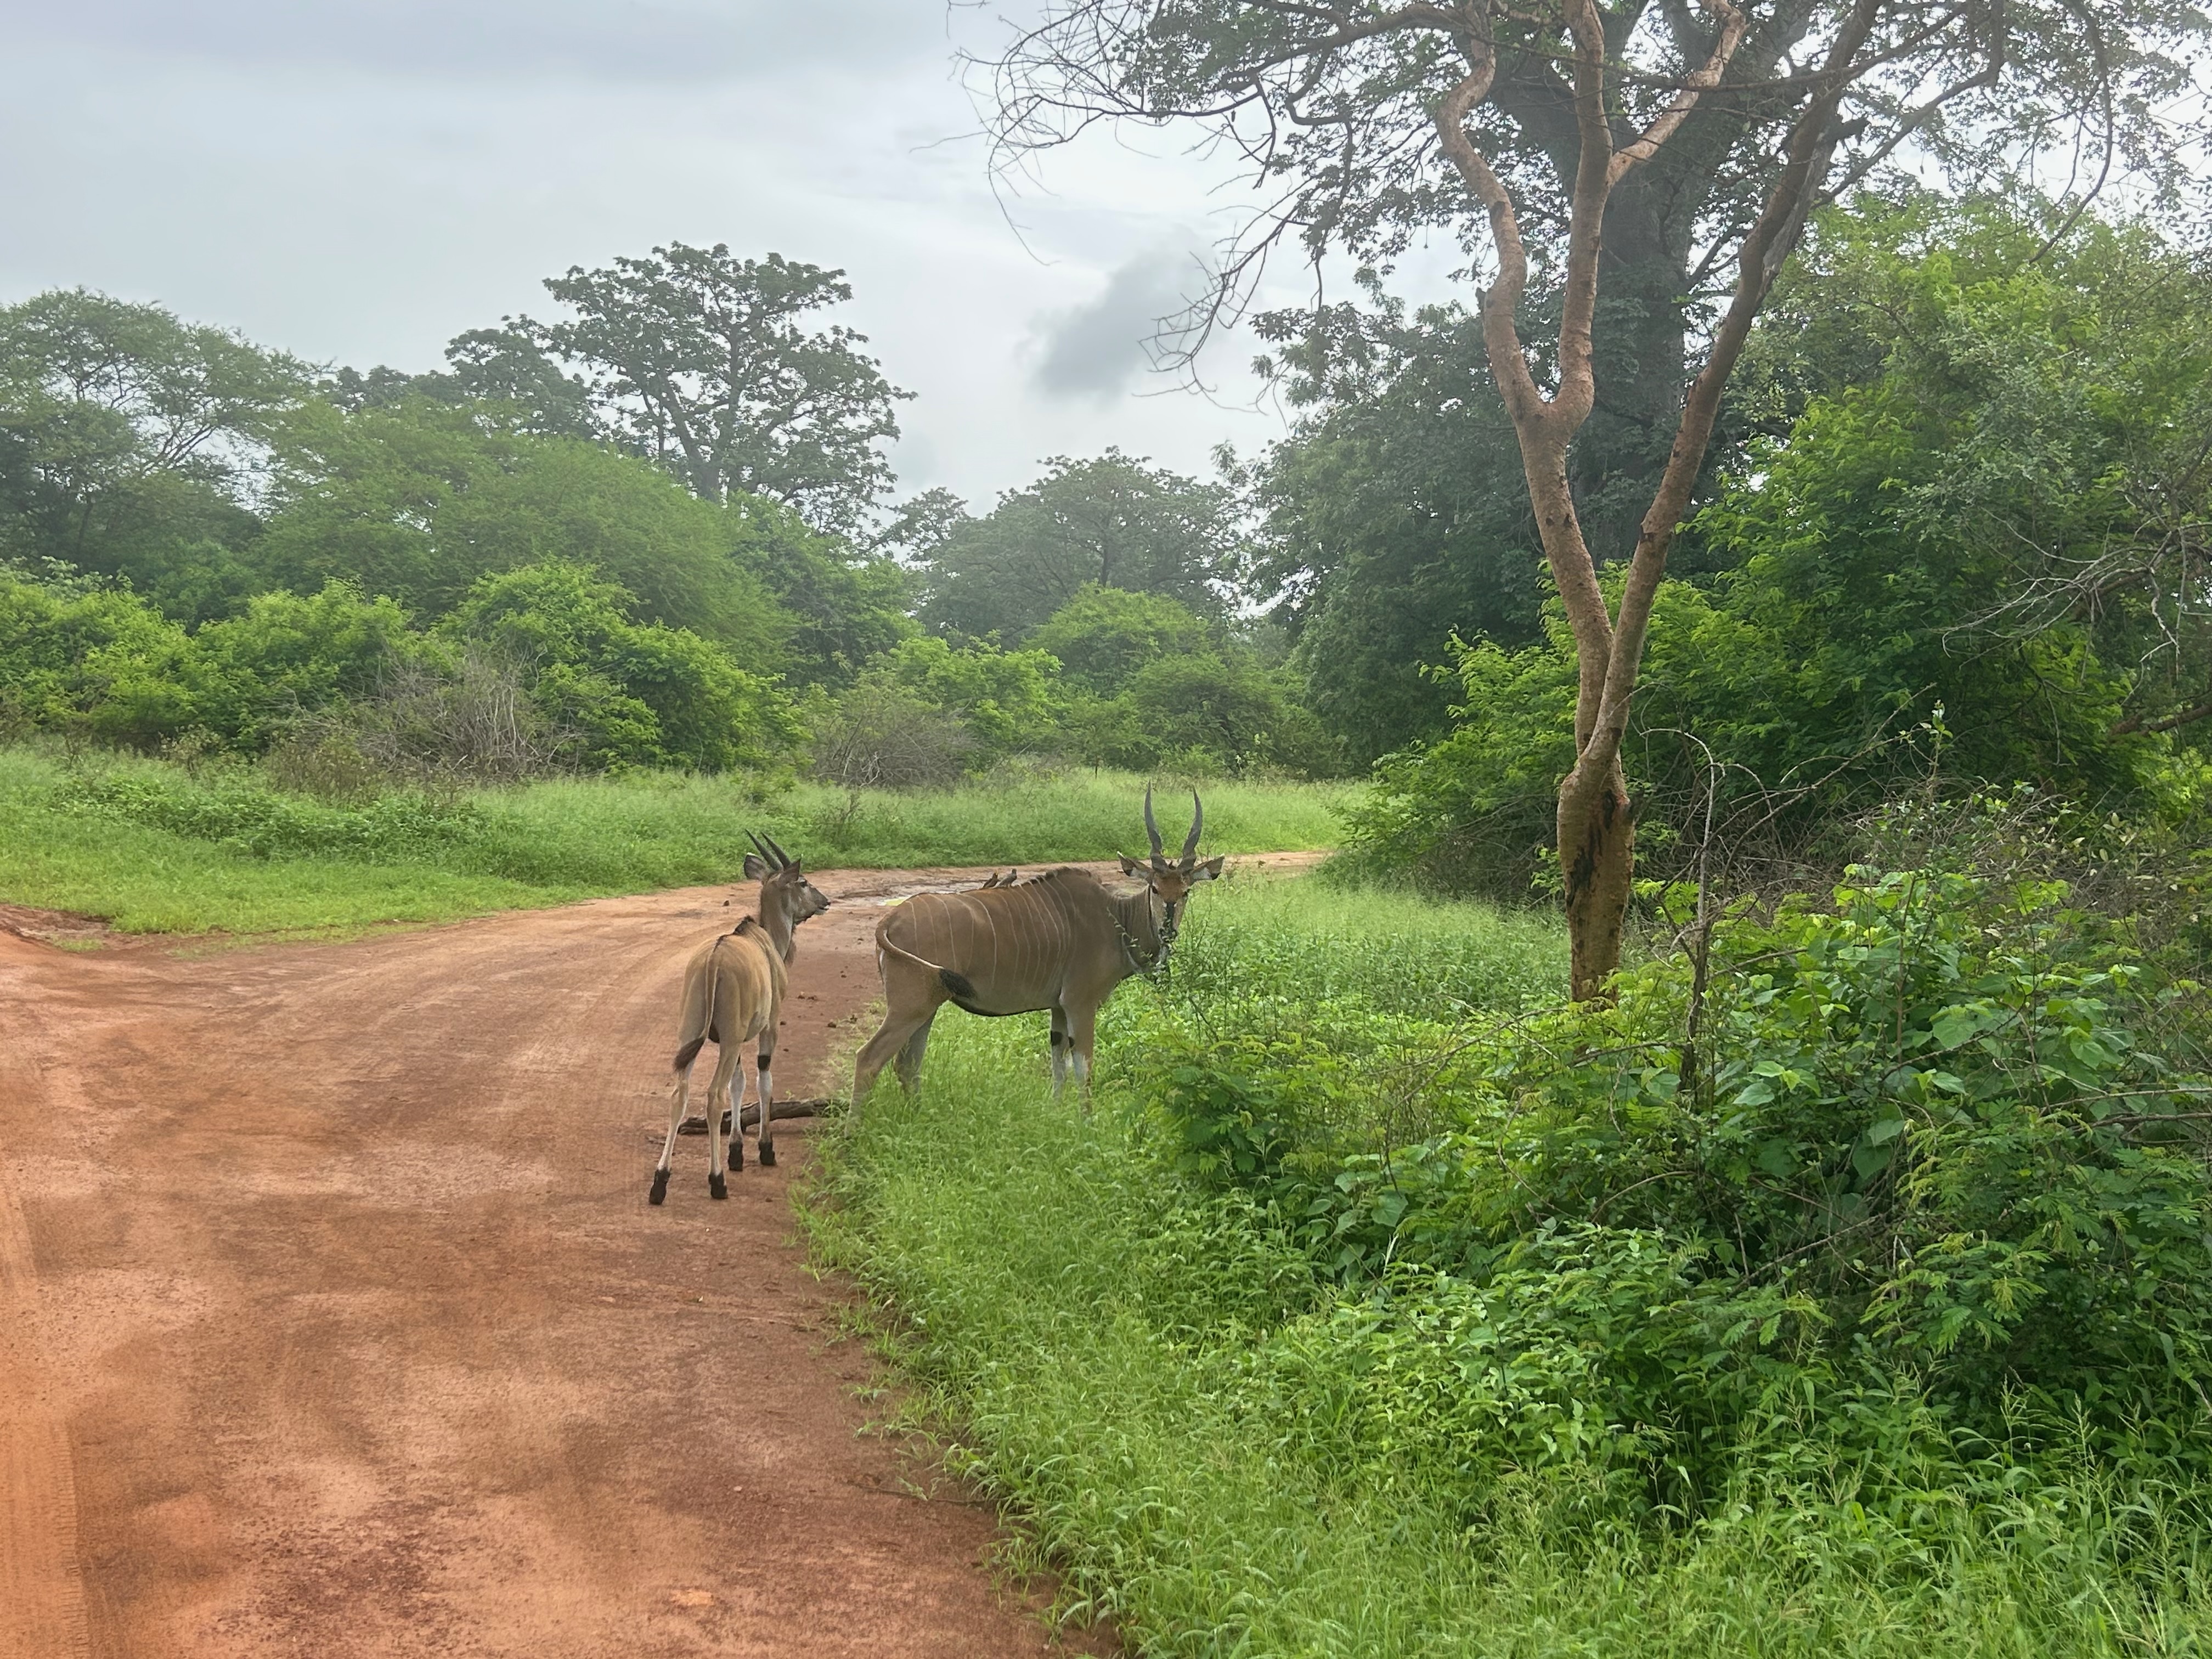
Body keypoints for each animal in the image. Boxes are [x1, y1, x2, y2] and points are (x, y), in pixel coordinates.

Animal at [650, 832, 829, 1205]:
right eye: (804, 882)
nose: (825, 901)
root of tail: (713, 961)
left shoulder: (736, 1040)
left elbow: (739, 1082)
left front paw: (736, 1153)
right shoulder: (768, 1027)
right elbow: (762, 1082)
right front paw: (764, 1149)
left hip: (693, 1036)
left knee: (680, 1093)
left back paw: (660, 1182)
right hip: (730, 1041)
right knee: (713, 1096)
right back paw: (716, 1181)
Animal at [853, 788, 1221, 1102]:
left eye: (1186, 891)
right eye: (1155, 889)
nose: (1167, 931)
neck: (1115, 917)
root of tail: (891, 919)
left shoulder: (1057, 1008)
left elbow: (1059, 1066)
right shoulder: (1080, 1004)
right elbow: (1084, 1069)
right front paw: (1086, 1126)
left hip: (928, 1006)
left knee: (907, 1064)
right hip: (909, 1006)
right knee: (869, 1060)